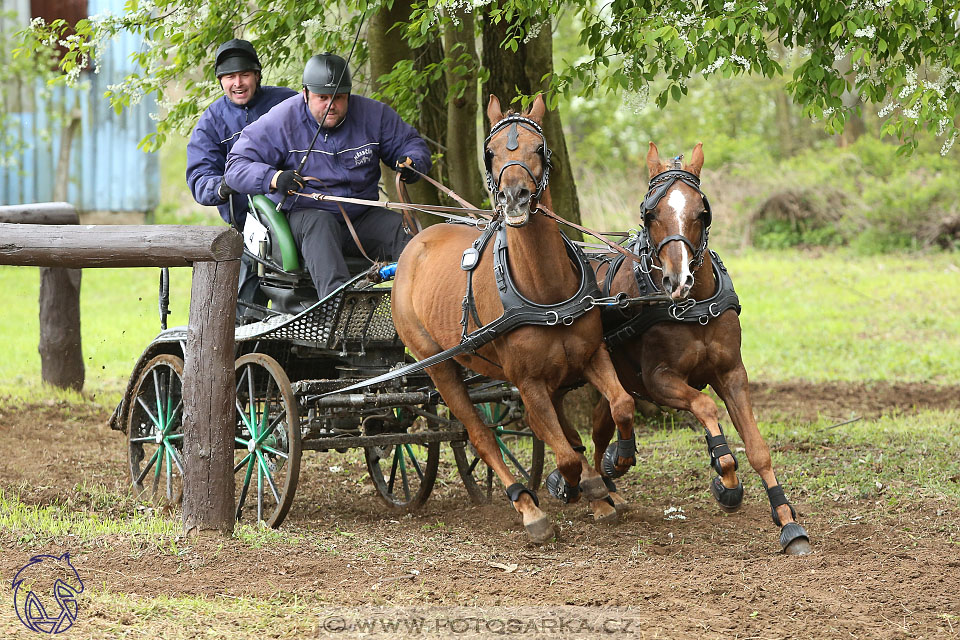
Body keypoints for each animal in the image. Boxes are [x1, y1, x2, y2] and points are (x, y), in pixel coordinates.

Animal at [390, 95, 636, 544]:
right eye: (490, 152)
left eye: (539, 148)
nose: (515, 197)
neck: (545, 291)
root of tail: (416, 239)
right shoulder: (527, 381)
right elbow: (563, 454)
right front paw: (576, 486)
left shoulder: (592, 355)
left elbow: (621, 404)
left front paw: (617, 463)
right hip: (439, 367)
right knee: (482, 435)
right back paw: (527, 505)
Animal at [592, 145, 808, 556]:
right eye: (651, 214)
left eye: (700, 212)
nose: (678, 280)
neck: (694, 308)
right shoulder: (659, 380)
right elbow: (706, 408)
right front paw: (726, 479)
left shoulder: (733, 374)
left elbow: (757, 447)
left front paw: (787, 520)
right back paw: (593, 482)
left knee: (606, 421)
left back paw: (608, 475)